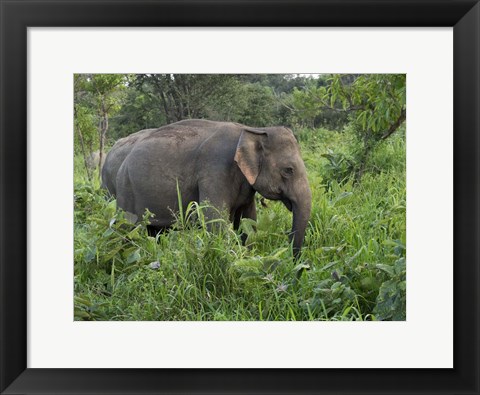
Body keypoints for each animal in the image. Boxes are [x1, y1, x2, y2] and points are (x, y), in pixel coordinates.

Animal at [101, 119, 312, 255]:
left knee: (155, 231)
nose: (292, 260)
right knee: (127, 229)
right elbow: (215, 221)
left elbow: (248, 222)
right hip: (124, 189)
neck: (252, 130)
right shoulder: (214, 171)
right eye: (288, 170)